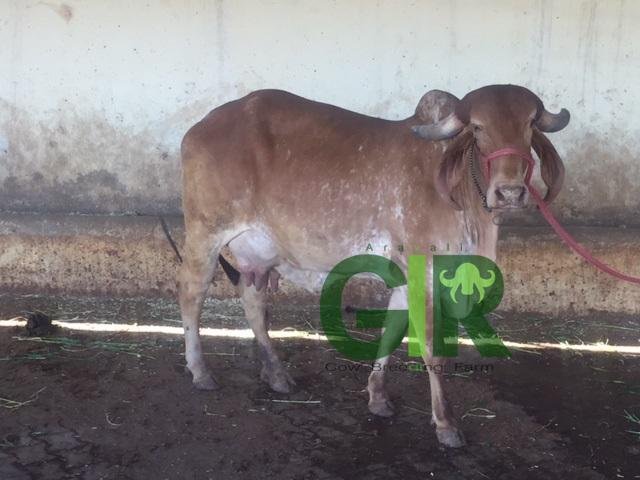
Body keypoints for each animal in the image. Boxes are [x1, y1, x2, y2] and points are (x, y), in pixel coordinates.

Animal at [178, 85, 569, 447]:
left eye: (530, 124)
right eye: (477, 127)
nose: (510, 192)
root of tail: (199, 128)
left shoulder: (404, 277)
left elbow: (392, 332)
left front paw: (378, 396)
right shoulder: (424, 273)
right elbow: (431, 349)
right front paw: (446, 423)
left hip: (259, 255)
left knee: (254, 304)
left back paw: (276, 374)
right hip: (204, 233)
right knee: (191, 297)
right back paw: (200, 371)